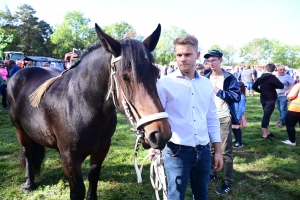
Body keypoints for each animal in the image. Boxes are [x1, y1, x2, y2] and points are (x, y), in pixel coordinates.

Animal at [7, 23, 171, 198]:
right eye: (125, 77)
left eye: (156, 74)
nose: (161, 134)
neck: (83, 105)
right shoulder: (71, 157)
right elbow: (77, 190)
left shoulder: (101, 149)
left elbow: (93, 177)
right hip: (21, 131)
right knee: (28, 153)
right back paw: (28, 183)